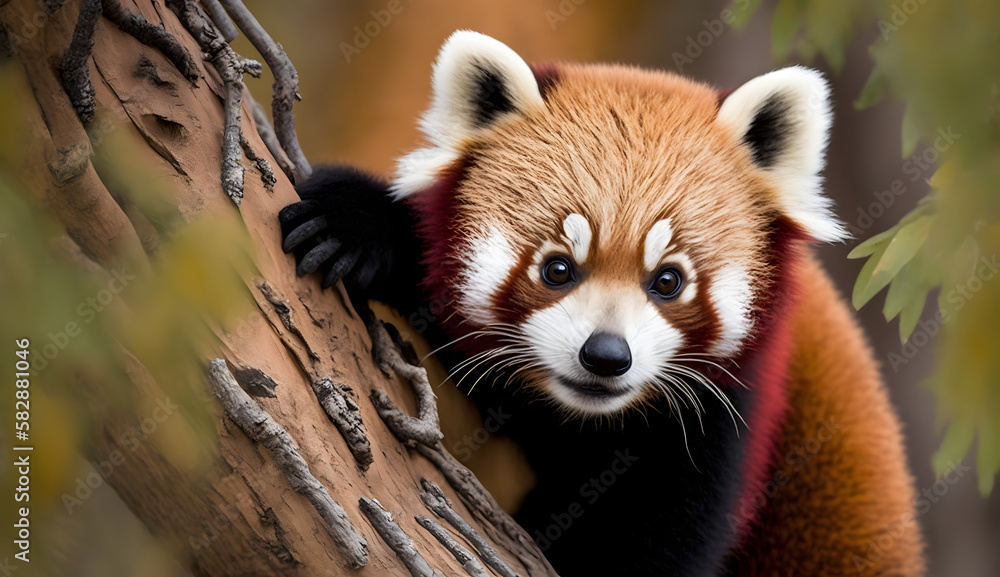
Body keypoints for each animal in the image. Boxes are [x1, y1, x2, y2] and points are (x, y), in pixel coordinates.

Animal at [279, 31, 925, 577]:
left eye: (668, 281)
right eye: (557, 268)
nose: (606, 356)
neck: (582, 421)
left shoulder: (733, 410)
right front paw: (357, 222)